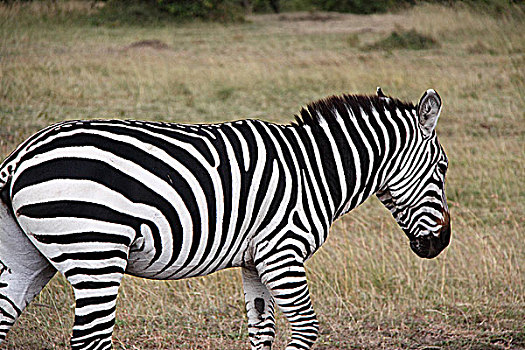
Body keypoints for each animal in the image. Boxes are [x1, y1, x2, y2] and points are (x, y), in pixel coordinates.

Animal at [1, 88, 450, 350]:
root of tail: (20, 155)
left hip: (27, 258)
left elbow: (261, 331)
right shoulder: (283, 252)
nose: (441, 243)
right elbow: (306, 327)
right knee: (89, 339)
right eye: (443, 168)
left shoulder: (256, 260)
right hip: (94, 253)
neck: (314, 171)